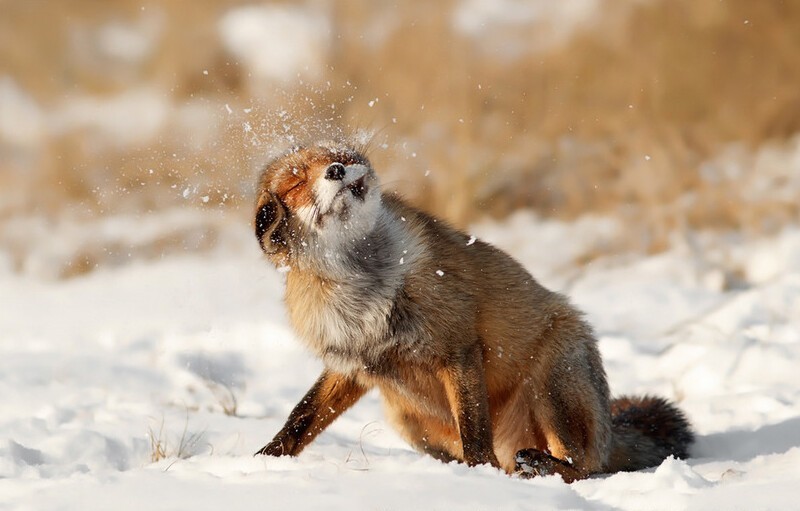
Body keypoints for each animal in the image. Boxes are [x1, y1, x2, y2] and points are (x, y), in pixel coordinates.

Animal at [253, 141, 692, 484]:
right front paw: (263, 462)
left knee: (586, 466)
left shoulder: (458, 348)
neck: (364, 288)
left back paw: (544, 466)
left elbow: (474, 430)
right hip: (406, 420)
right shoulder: (353, 363)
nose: (338, 170)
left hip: (553, 382)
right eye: (295, 183)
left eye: (341, 156)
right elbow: (300, 418)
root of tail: (611, 432)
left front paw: (481, 476)